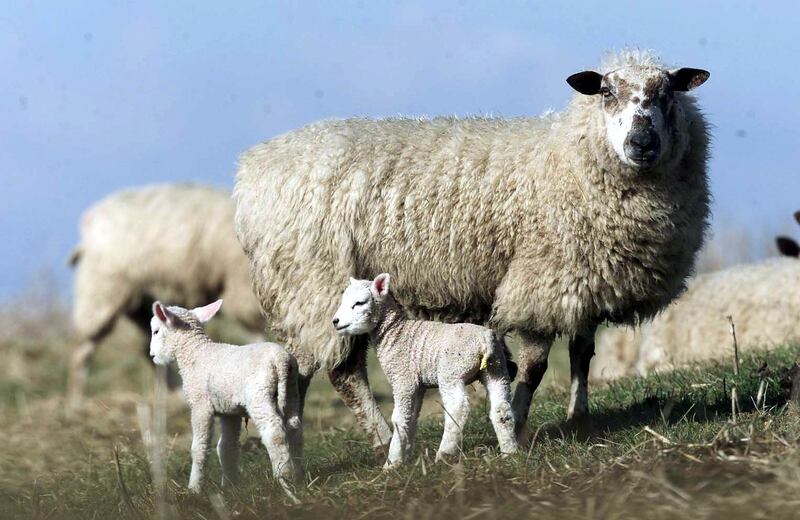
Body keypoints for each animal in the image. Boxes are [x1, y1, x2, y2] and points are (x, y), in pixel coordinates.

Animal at [67, 185, 264, 408]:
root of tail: (91, 220)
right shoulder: (241, 288)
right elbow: (257, 331)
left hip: (141, 302)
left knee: (149, 349)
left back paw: (174, 394)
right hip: (102, 289)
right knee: (82, 347)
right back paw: (76, 401)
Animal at [148, 298, 302, 490]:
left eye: (156, 331)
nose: (152, 355)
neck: (195, 352)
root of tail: (281, 360)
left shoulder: (200, 405)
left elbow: (199, 447)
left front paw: (194, 488)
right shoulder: (230, 412)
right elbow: (226, 448)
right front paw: (230, 486)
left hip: (259, 395)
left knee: (274, 432)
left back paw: (283, 477)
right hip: (292, 390)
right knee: (294, 426)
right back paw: (299, 474)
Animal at [332, 274, 516, 466]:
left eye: (359, 303)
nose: (335, 321)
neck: (395, 333)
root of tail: (485, 340)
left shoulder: (403, 379)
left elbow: (398, 419)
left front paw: (392, 463)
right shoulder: (417, 386)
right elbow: (411, 419)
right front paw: (406, 455)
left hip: (452, 371)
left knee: (457, 407)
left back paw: (445, 454)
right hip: (497, 369)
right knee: (501, 408)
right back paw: (509, 452)